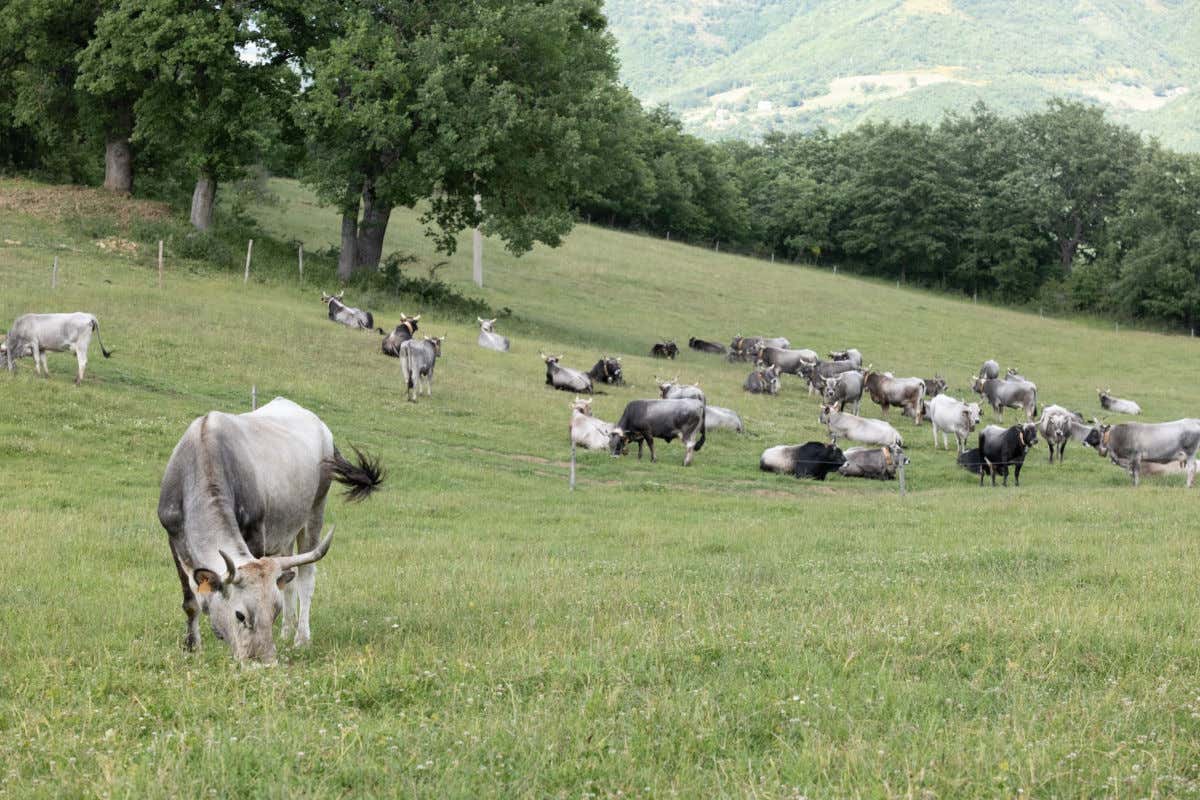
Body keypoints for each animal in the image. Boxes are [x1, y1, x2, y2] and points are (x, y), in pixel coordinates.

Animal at [154, 395, 379, 662]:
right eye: (240, 615)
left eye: (273, 611)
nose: (264, 661)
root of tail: (322, 427)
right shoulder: (173, 538)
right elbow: (190, 602)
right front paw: (192, 648)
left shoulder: (256, 534)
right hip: (285, 532)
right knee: (289, 579)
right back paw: (286, 632)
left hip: (315, 512)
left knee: (306, 578)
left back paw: (301, 637)